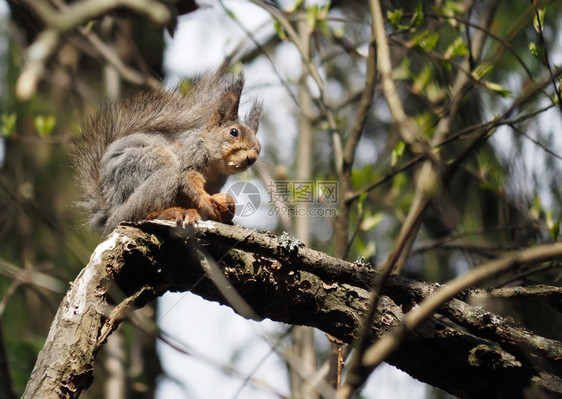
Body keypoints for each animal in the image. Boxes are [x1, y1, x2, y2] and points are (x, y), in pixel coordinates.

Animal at [71, 70, 260, 234]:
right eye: (234, 132)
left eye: (259, 147)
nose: (251, 158)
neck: (216, 166)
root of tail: (111, 208)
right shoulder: (191, 153)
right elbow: (187, 179)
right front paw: (206, 201)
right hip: (146, 168)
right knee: (132, 214)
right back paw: (170, 213)